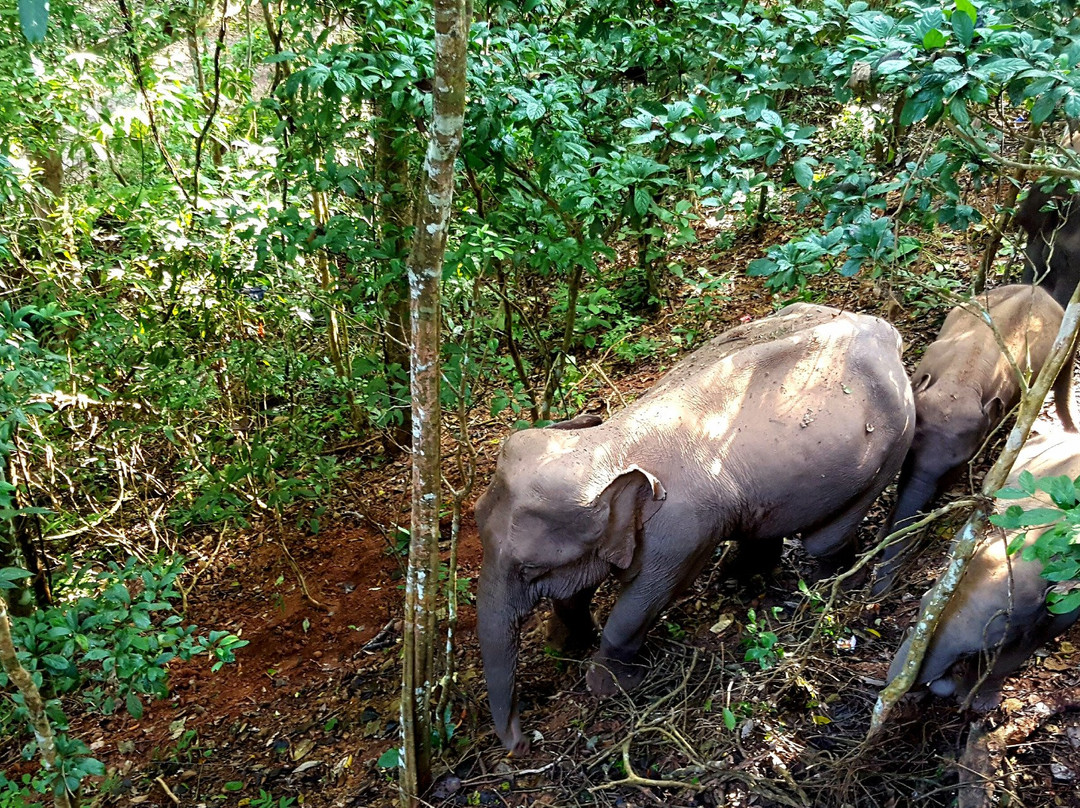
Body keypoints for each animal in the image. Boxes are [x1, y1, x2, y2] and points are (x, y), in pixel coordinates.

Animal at [477, 302, 915, 751]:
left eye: (530, 569)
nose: (521, 743)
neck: (606, 444)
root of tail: (884, 330)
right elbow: (577, 589)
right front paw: (566, 646)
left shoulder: (684, 531)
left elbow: (646, 599)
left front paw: (609, 686)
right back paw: (739, 580)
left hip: (894, 438)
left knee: (824, 540)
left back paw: (830, 590)